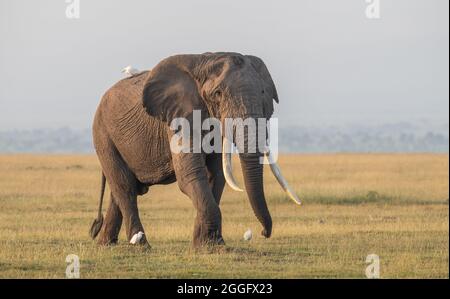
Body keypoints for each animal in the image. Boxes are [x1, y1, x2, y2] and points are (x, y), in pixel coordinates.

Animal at [88, 52, 300, 248]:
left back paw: (106, 244)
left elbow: (216, 175)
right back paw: (141, 246)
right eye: (218, 94)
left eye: (263, 92)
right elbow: (190, 174)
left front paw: (209, 244)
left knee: (120, 191)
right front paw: (211, 246)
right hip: (103, 134)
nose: (264, 232)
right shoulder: (179, 118)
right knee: (125, 187)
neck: (204, 63)